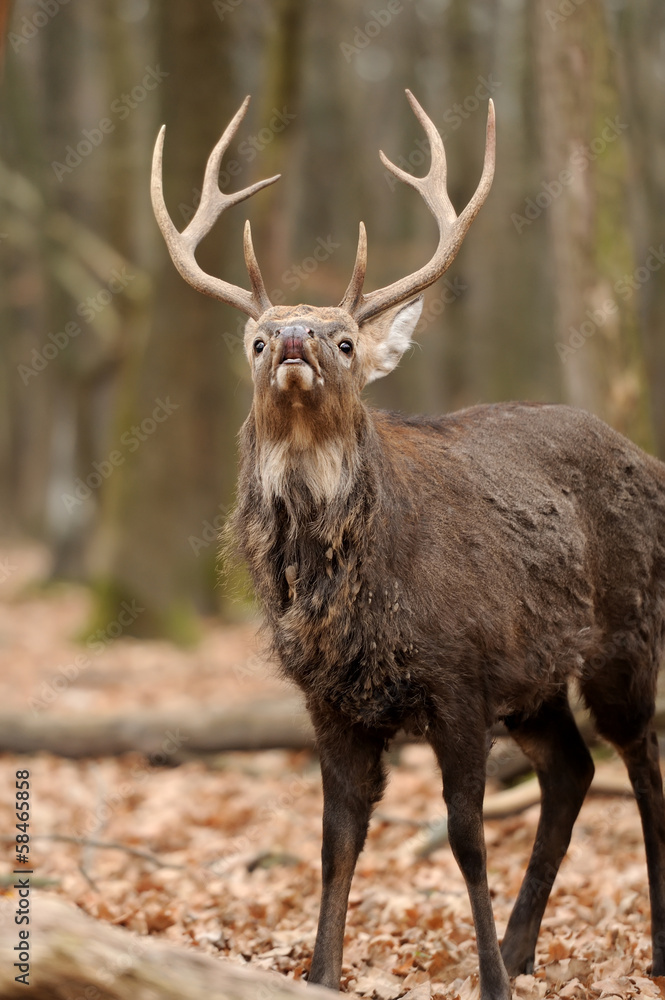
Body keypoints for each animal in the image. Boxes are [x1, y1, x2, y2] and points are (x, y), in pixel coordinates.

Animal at [151, 92, 665, 1000]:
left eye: (346, 341)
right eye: (256, 341)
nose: (296, 337)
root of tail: (651, 463)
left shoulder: (459, 677)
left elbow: (463, 837)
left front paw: (487, 981)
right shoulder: (327, 701)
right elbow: (335, 840)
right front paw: (321, 973)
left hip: (622, 636)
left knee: (641, 765)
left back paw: (642, 947)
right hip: (534, 680)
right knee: (572, 768)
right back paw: (525, 948)